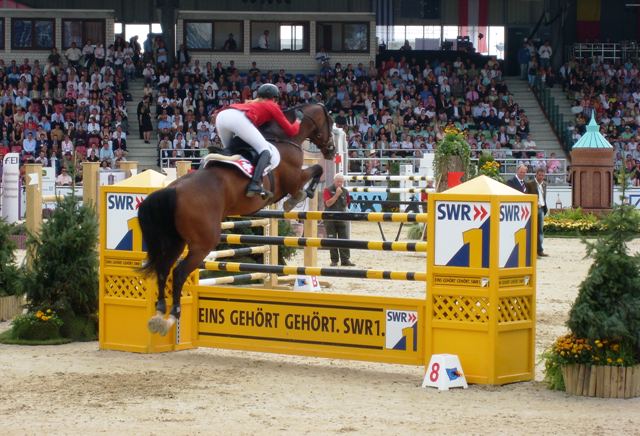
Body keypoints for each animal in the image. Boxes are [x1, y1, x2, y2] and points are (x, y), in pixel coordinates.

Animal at [138, 102, 338, 334]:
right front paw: (300, 197)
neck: (283, 138)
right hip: (202, 244)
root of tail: (172, 190)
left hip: (176, 241)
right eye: (331, 123)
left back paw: (159, 314)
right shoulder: (294, 178)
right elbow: (317, 169)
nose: (332, 150)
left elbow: (317, 169)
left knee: (163, 269)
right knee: (178, 273)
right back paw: (173, 315)